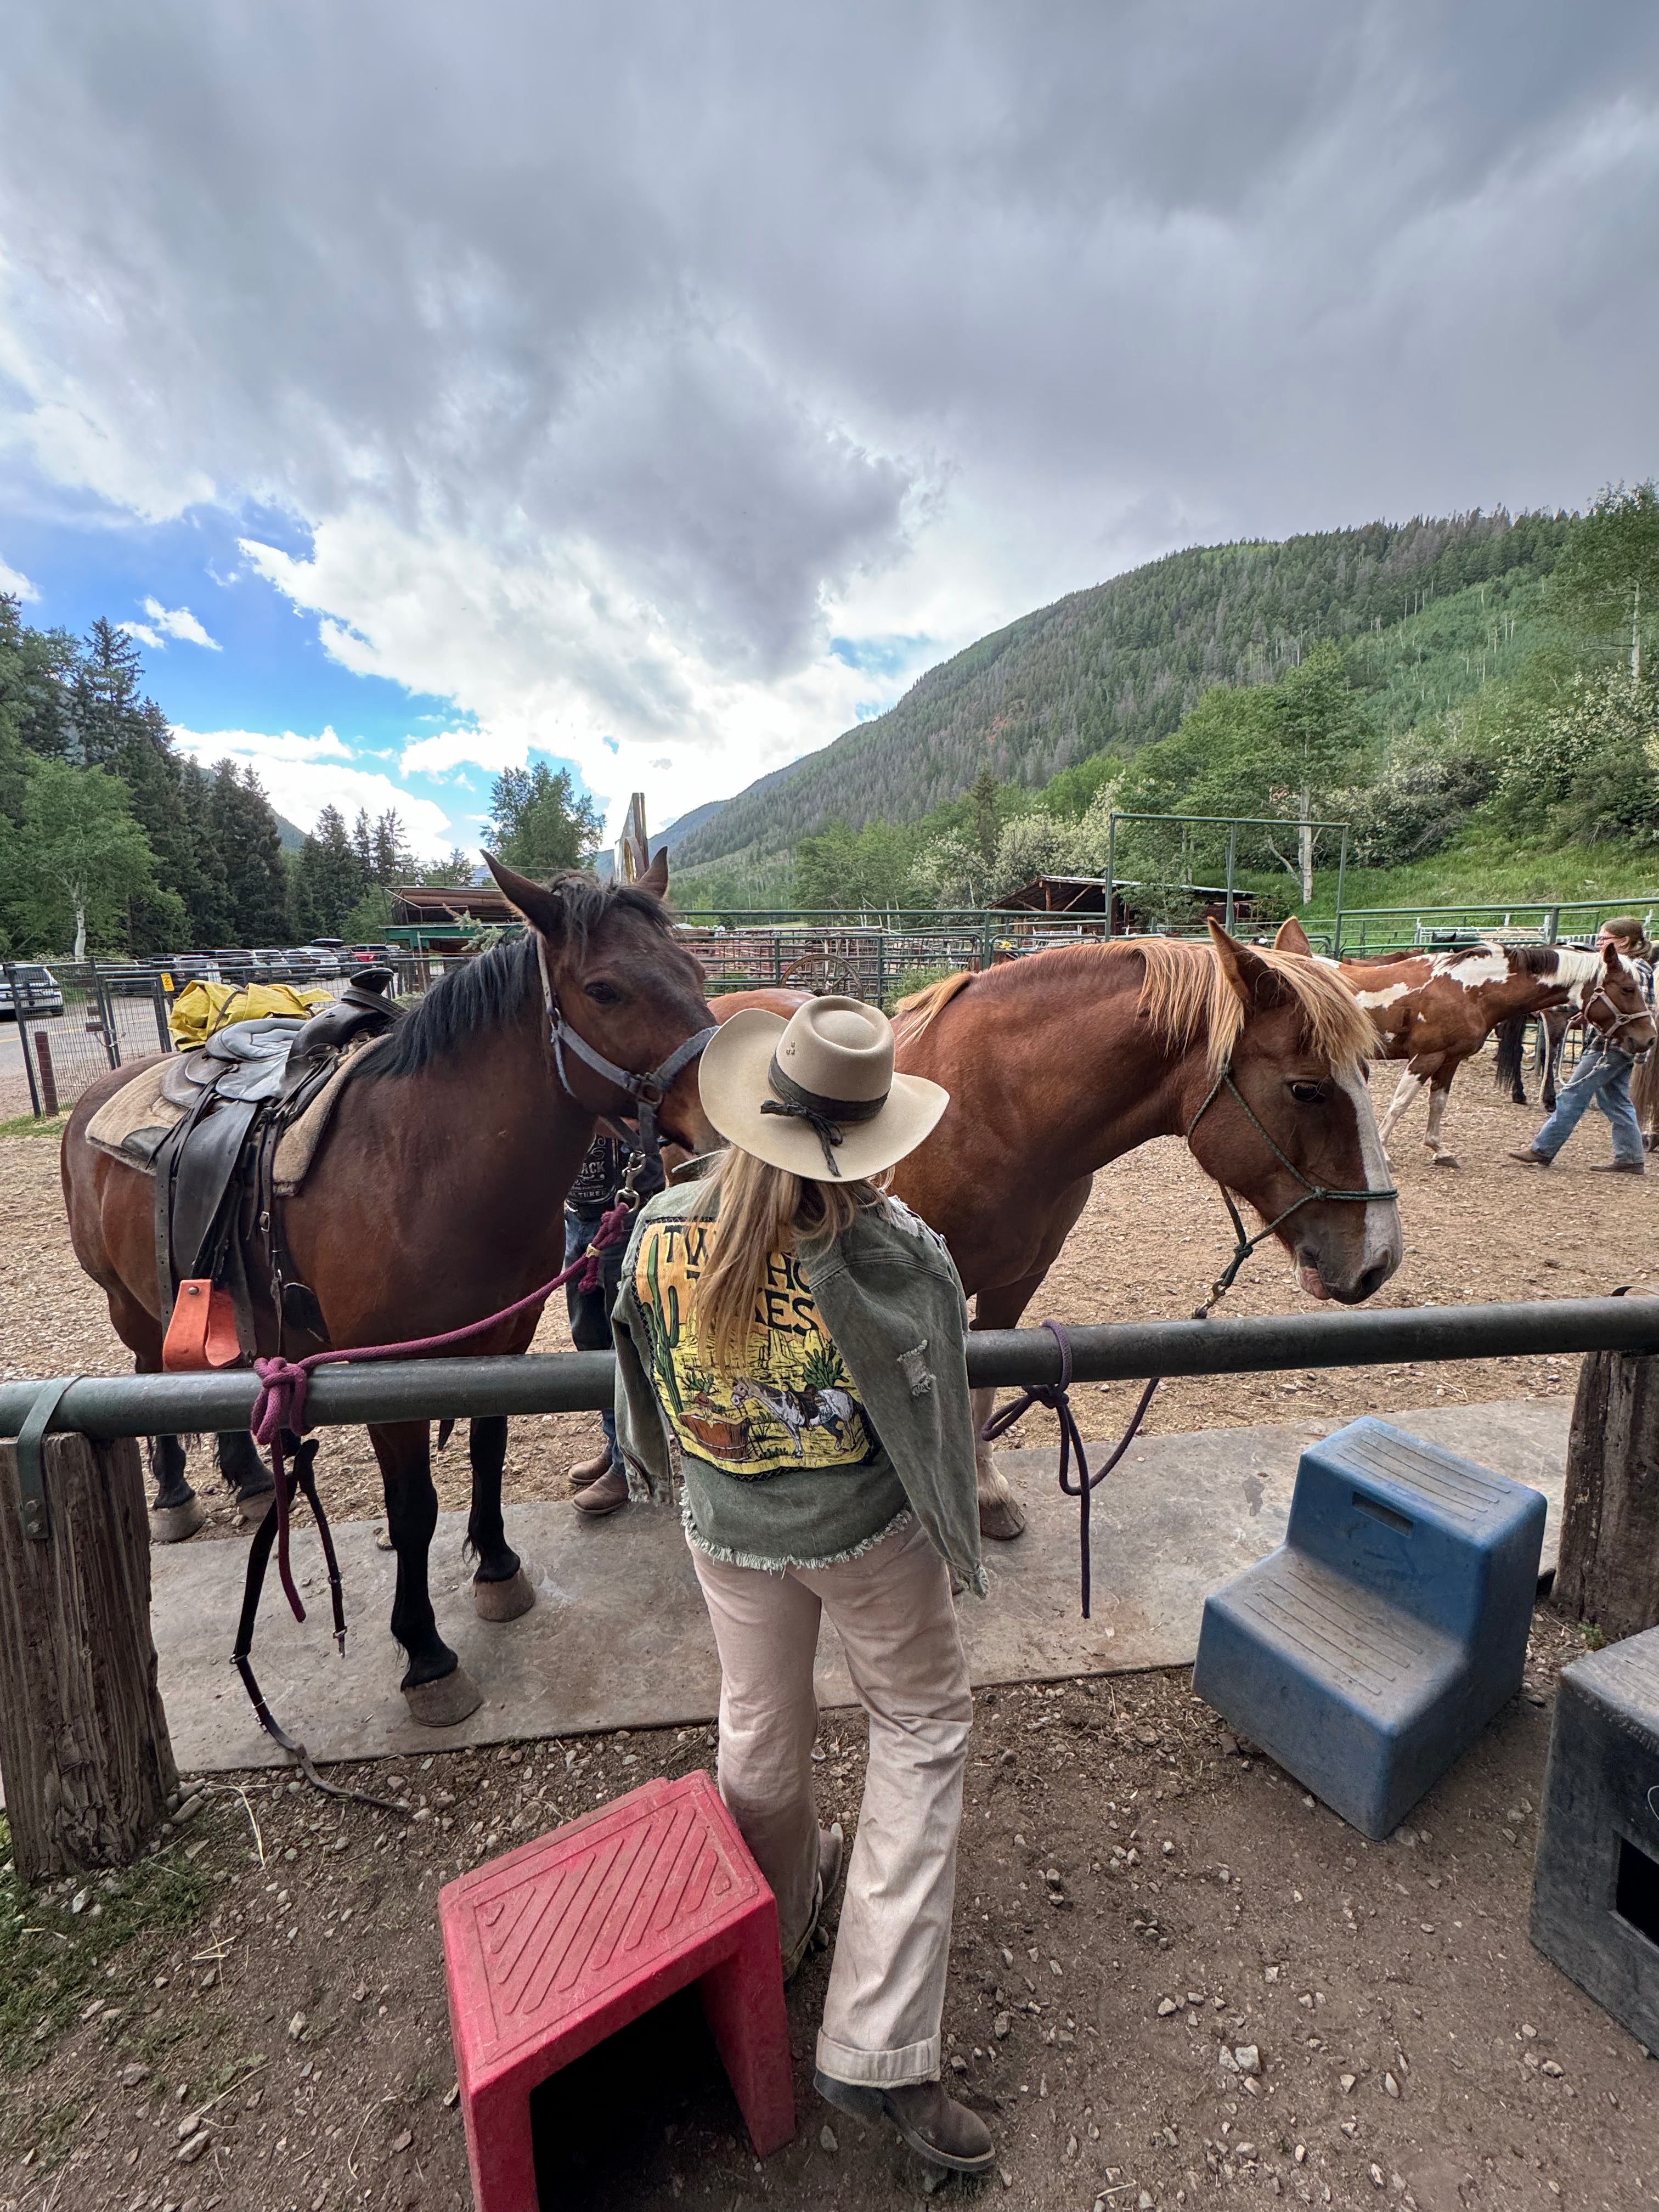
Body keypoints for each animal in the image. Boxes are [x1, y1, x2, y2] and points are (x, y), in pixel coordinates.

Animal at [61, 853, 719, 1726]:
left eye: (696, 972)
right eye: (606, 989)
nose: (724, 1120)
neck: (425, 1166)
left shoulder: (500, 1346)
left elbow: (485, 1455)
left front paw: (498, 1569)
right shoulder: (388, 1377)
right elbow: (412, 1511)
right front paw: (427, 1656)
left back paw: (249, 1479)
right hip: (128, 1303)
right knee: (144, 1379)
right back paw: (173, 1496)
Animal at [709, 920, 1402, 1539]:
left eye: (1367, 1075)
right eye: (1307, 1089)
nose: (1380, 1258)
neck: (996, 1110)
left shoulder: (1014, 1285)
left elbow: (982, 1390)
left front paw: (986, 1494)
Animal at [1273, 919, 1658, 1166]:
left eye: (1637, 986)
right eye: (1627, 988)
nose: (1648, 1037)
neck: (1467, 990)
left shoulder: (1450, 1059)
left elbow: (1438, 1103)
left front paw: (1438, 1150)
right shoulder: (1426, 1057)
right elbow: (1400, 1103)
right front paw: (1382, 1151)